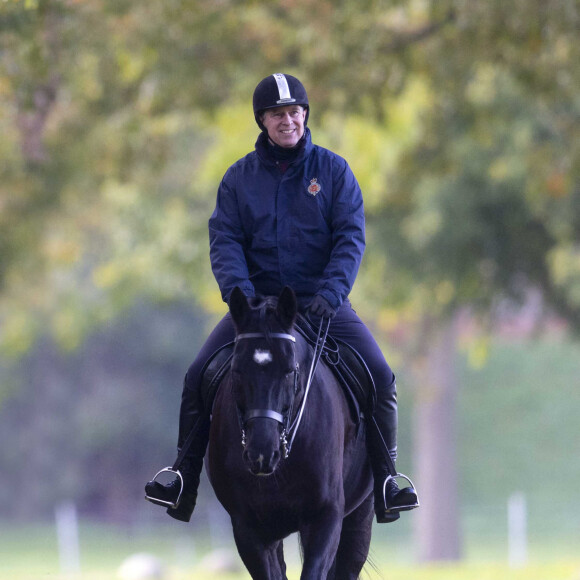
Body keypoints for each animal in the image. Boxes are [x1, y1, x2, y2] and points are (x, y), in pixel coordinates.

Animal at [206, 286, 374, 580]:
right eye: (237, 370)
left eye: (289, 371)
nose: (262, 454)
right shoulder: (249, 528)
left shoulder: (325, 517)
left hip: (359, 519)